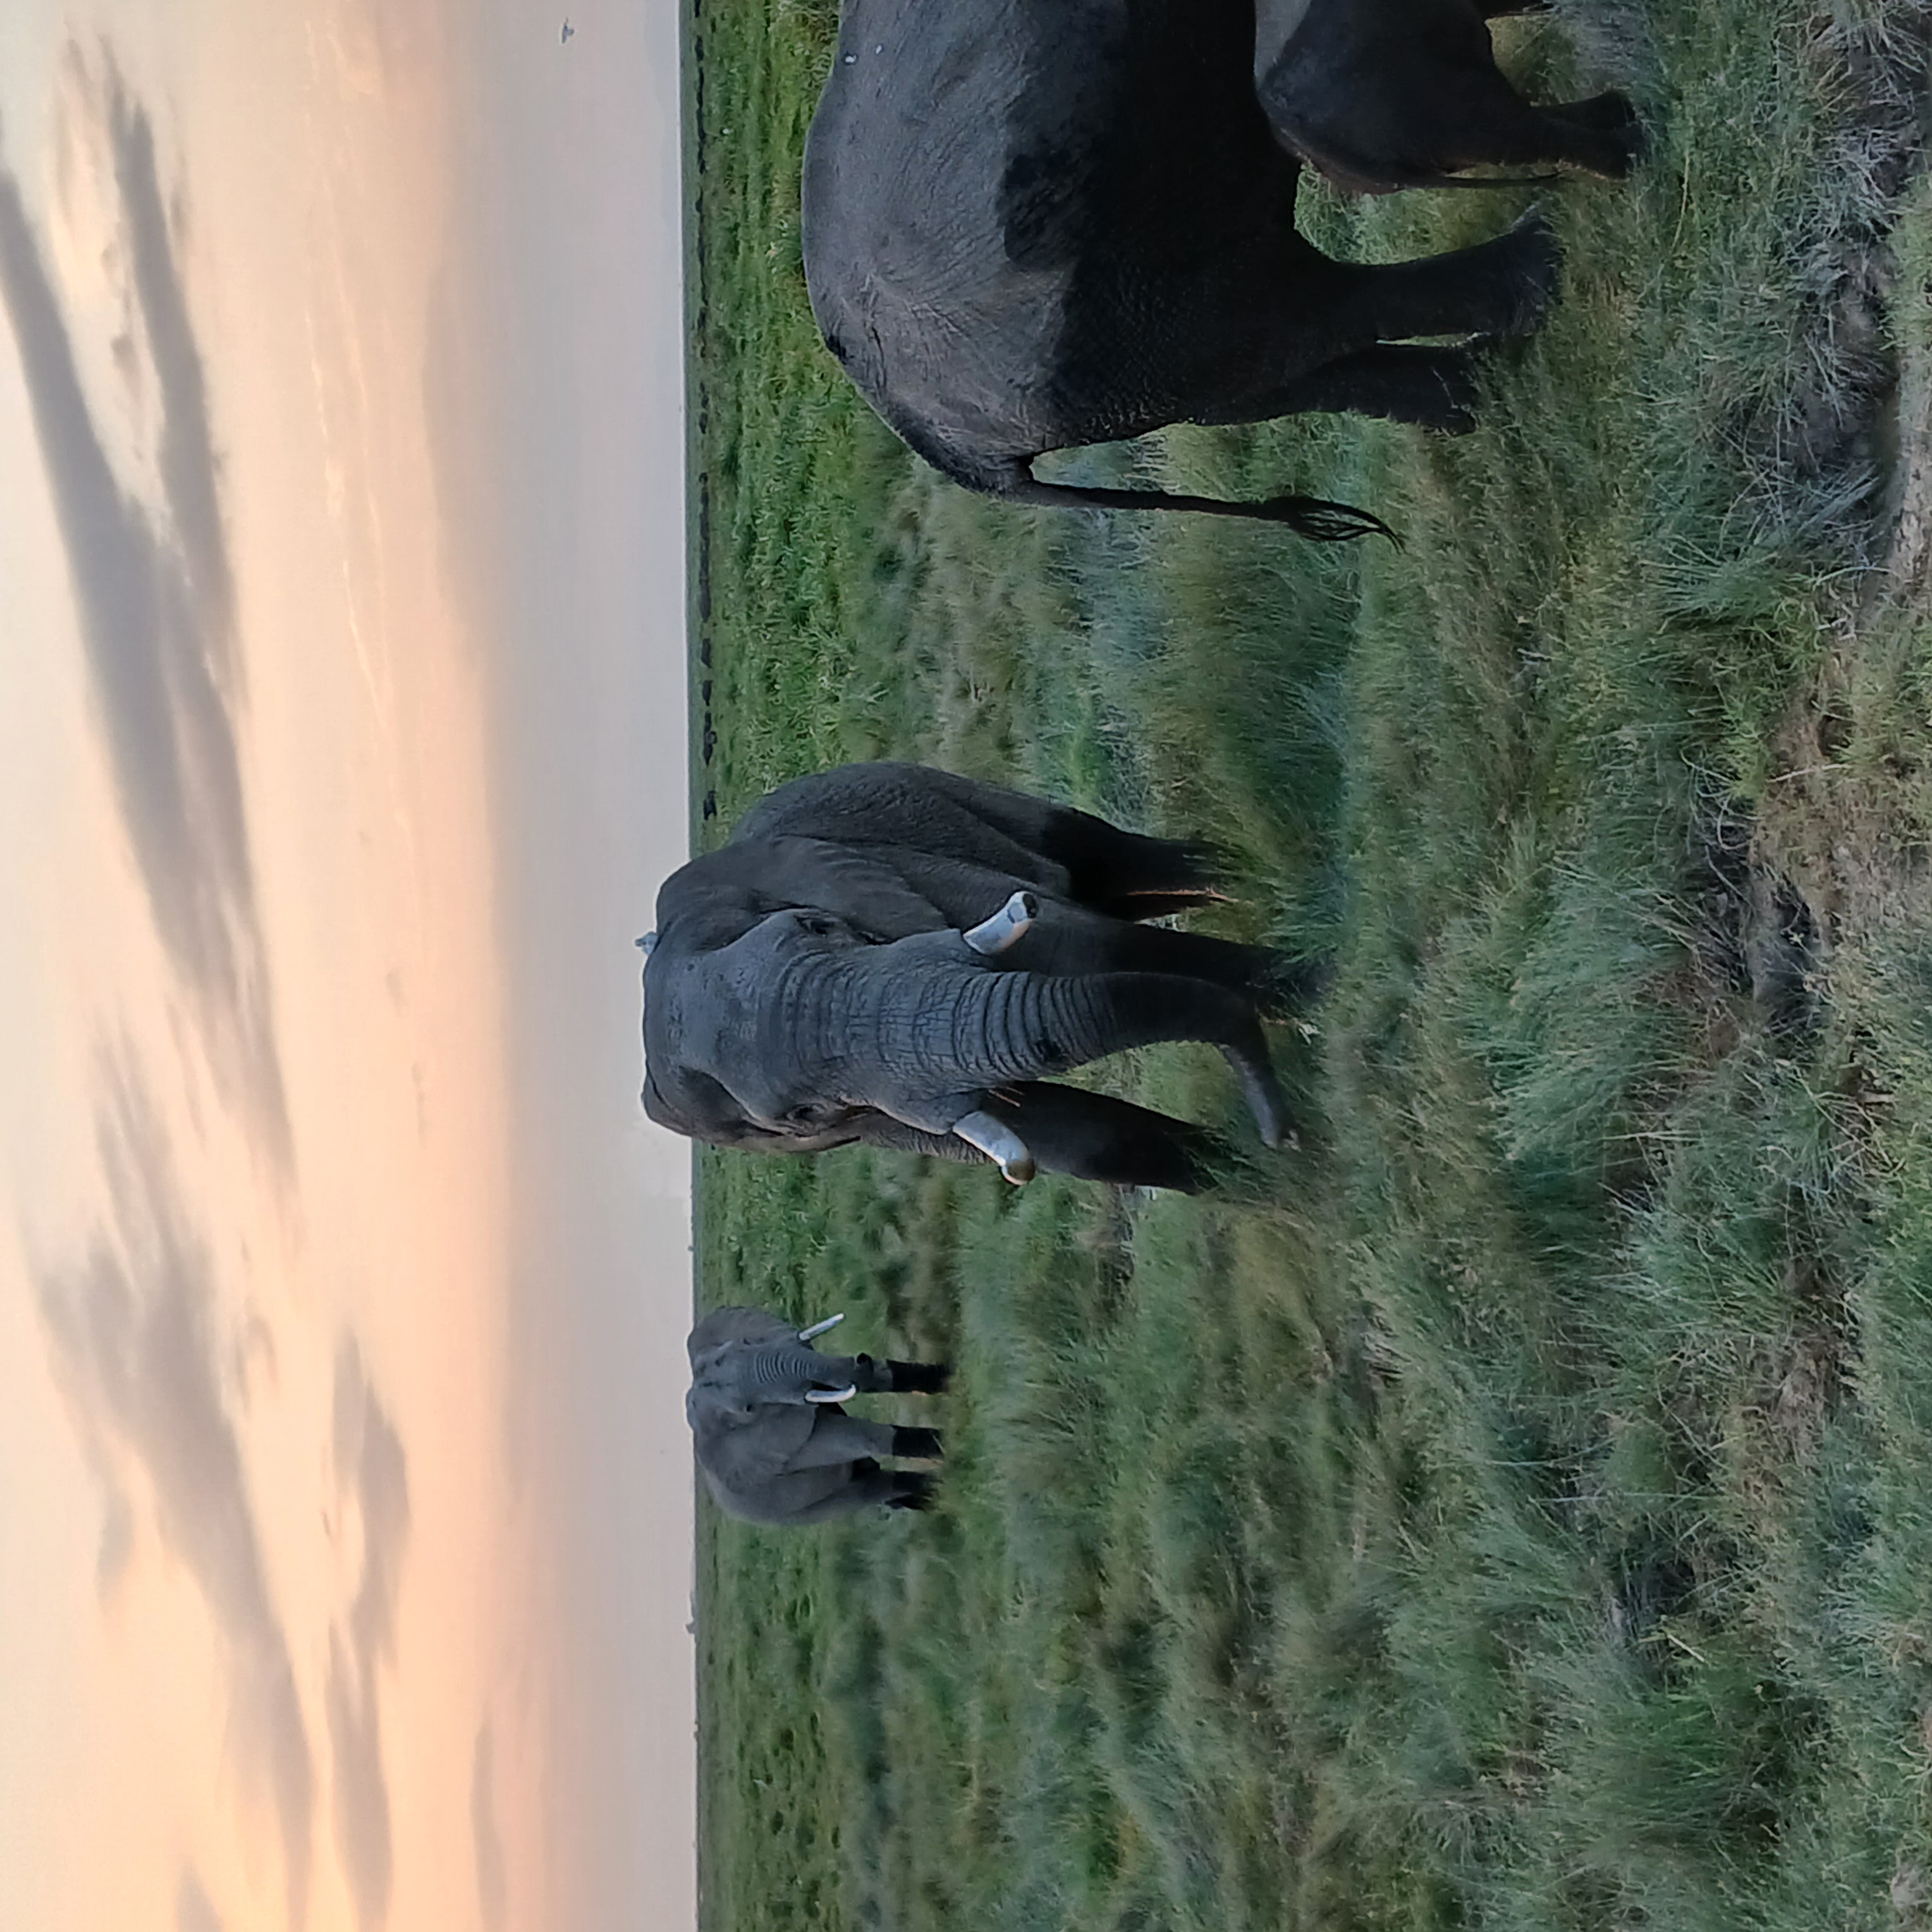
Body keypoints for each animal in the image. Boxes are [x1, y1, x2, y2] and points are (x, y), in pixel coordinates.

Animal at [639, 762, 1312, 1192]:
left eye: (817, 926)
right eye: (803, 1117)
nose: (1281, 1134)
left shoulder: (904, 881)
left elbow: (1079, 946)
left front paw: (1316, 993)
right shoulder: (873, 1119)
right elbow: (1078, 1139)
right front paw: (1282, 1192)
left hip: (937, 788)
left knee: (1092, 857)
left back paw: (1240, 874)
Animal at [687, 1308, 947, 1525]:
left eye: (746, 1342)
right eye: (750, 1409)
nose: (862, 1359)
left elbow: (880, 1378)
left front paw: (951, 1378)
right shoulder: (786, 1448)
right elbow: (854, 1437)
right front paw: (948, 1448)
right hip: (806, 1509)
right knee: (875, 1487)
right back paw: (938, 1493)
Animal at [801, 0, 1566, 528]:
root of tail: (955, 453)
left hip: (1119, 351)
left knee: (1268, 376)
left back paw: (1483, 378)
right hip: (1115, 312)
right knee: (1304, 315)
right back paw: (1540, 265)